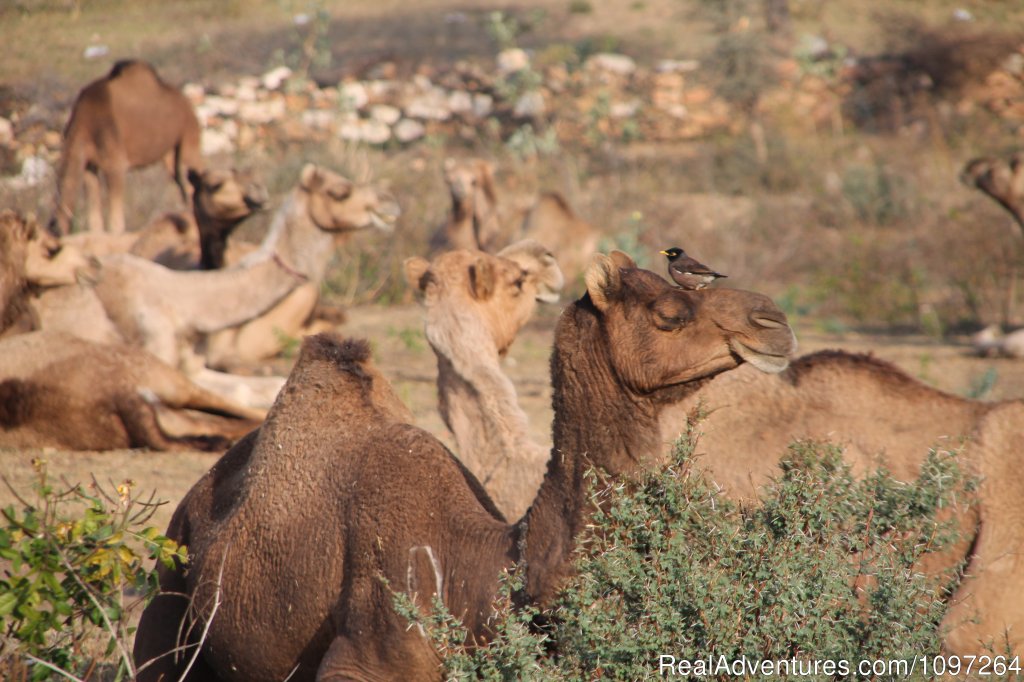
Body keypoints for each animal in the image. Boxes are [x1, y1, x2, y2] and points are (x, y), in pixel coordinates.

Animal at [50, 61, 202, 236]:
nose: (58, 232)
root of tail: (187, 103)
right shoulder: (89, 166)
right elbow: (95, 218)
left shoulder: (115, 164)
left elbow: (115, 221)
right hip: (170, 154)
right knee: (185, 185)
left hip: (189, 137)